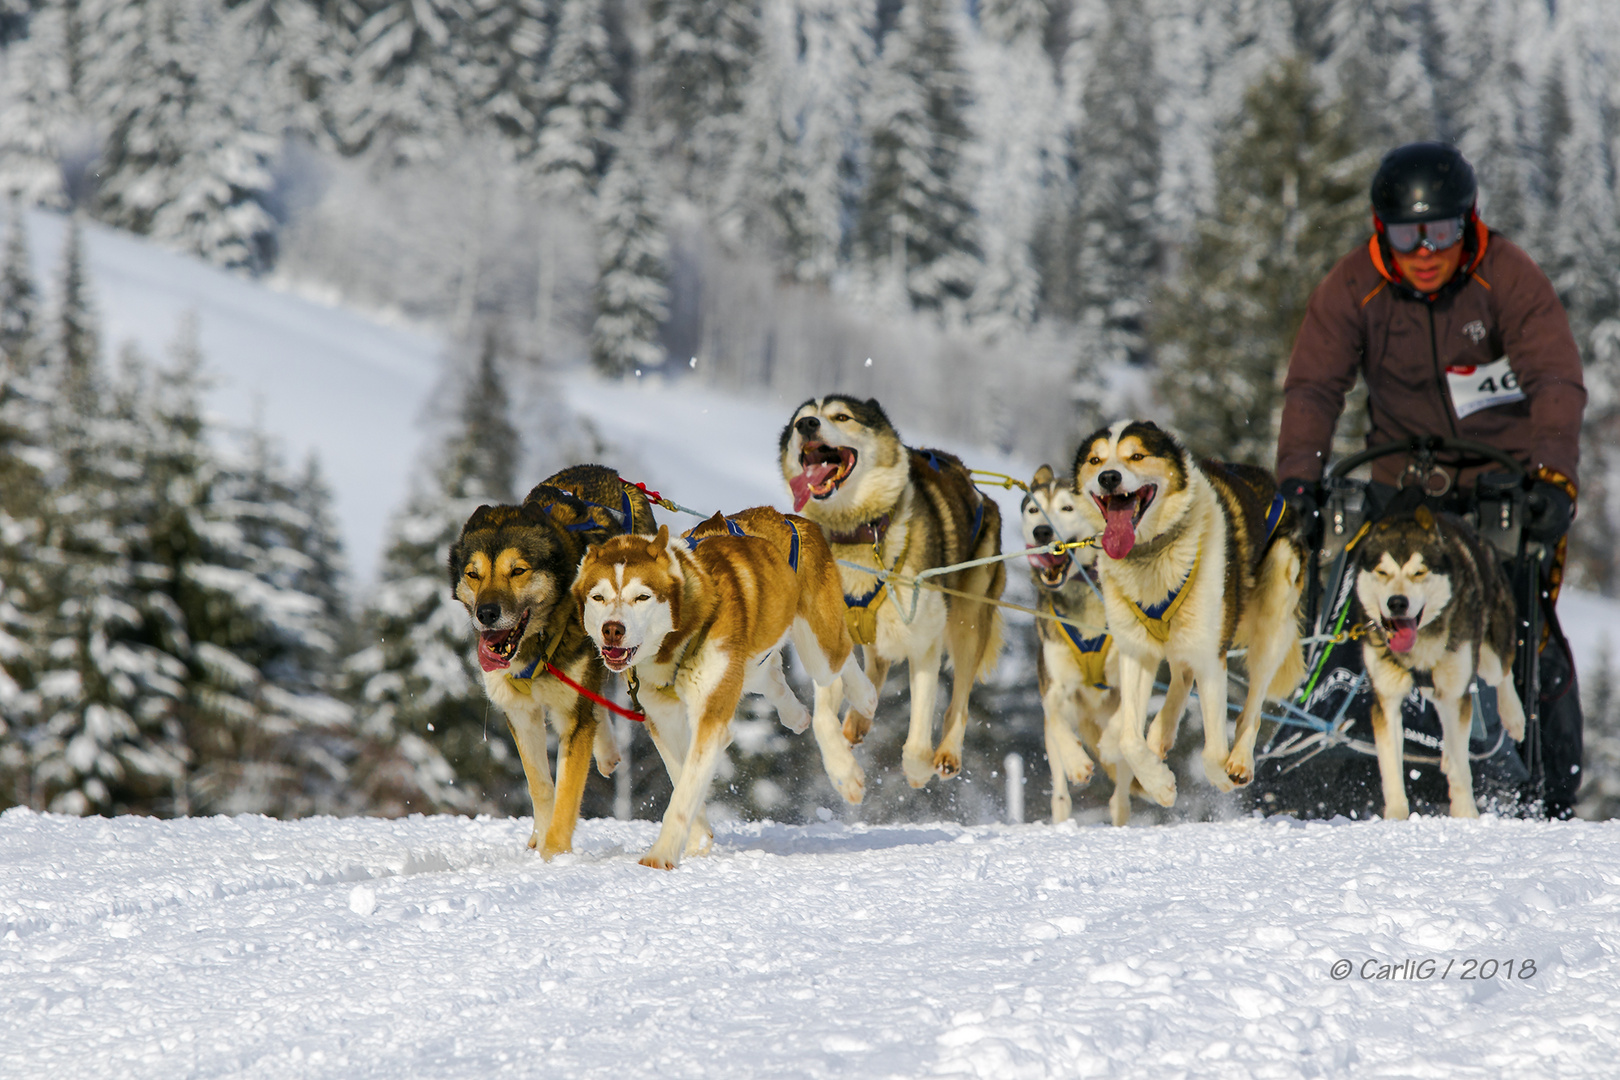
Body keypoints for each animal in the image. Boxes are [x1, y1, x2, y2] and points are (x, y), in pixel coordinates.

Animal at [450, 469, 651, 854]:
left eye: (518, 570)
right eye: (473, 574)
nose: (486, 613)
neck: (537, 646)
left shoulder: (571, 718)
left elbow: (567, 791)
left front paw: (555, 855)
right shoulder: (520, 713)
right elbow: (541, 787)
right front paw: (541, 839)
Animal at [780, 396, 997, 793]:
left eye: (841, 416)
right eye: (800, 420)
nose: (807, 426)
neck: (858, 533)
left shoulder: (924, 641)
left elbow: (920, 726)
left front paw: (917, 768)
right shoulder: (828, 638)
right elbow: (821, 718)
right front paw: (844, 775)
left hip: (968, 623)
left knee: (959, 700)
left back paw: (947, 752)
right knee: (875, 669)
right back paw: (858, 717)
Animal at [1075, 420, 1302, 809]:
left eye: (1137, 455)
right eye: (1095, 460)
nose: (1108, 477)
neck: (1151, 553)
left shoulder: (1212, 657)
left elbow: (1212, 753)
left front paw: (1221, 778)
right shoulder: (1136, 651)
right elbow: (1130, 740)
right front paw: (1158, 784)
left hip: (1271, 621)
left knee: (1253, 705)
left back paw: (1240, 760)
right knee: (1180, 677)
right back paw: (1159, 735)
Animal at [1347, 508, 1522, 819]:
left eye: (1419, 572)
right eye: (1382, 572)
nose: (1397, 602)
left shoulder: (1456, 694)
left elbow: (1463, 770)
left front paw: (1466, 814)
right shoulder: (1387, 698)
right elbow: (1391, 765)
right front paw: (1396, 816)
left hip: (1490, 653)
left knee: (1502, 675)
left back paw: (1515, 718)